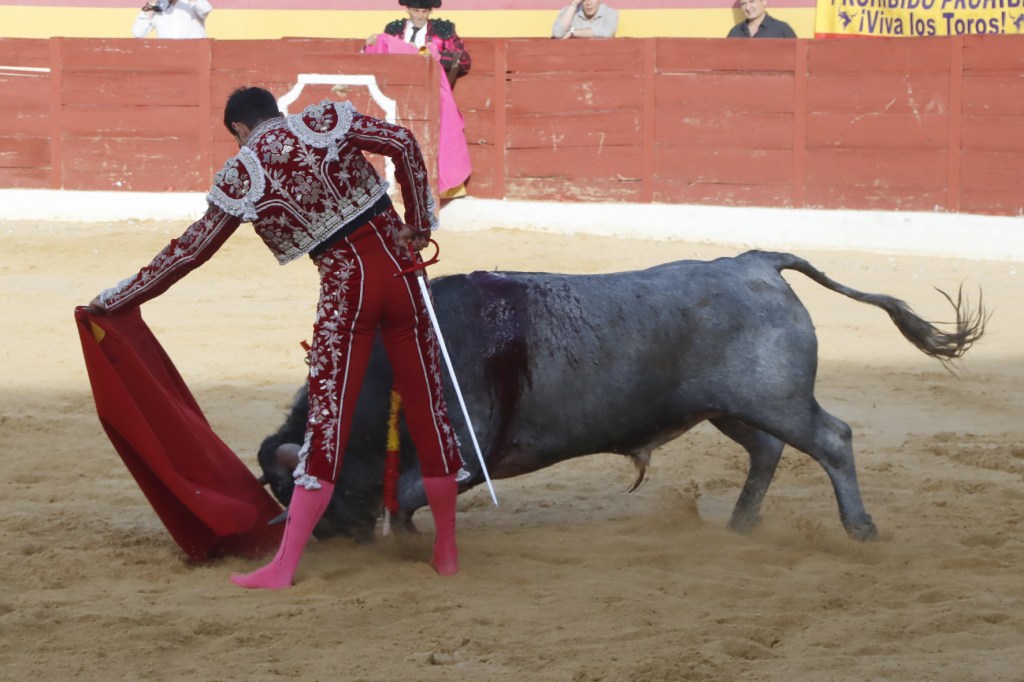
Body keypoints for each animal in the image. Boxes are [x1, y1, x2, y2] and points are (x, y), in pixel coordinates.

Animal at [256, 250, 985, 544]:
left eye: (300, 490)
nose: (315, 541)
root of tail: (753, 261)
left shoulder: (466, 451)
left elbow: (405, 493)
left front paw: (405, 540)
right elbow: (405, 494)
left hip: (773, 399)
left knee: (832, 439)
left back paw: (860, 529)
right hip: (728, 408)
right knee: (769, 451)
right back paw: (739, 526)